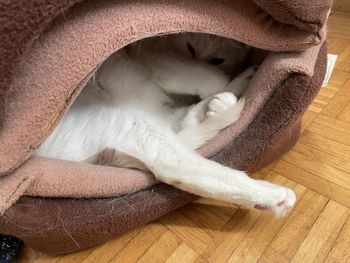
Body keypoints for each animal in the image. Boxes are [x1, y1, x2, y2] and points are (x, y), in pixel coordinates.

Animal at [37, 33, 296, 217]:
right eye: (190, 48)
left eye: (217, 58)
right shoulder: (158, 60)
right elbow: (206, 77)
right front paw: (221, 87)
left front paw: (222, 97)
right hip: (134, 123)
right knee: (177, 165)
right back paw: (275, 196)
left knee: (180, 126)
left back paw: (229, 95)